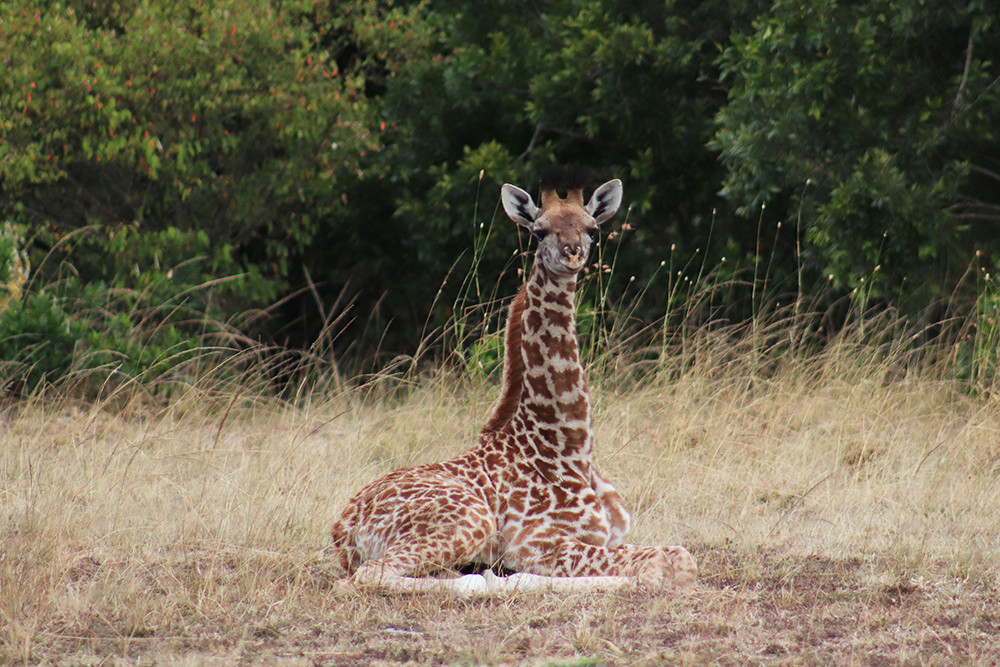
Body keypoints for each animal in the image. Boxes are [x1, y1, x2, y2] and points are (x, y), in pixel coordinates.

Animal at [330, 169, 697, 594]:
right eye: (538, 232)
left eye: (593, 229)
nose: (572, 254)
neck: (571, 448)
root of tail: (342, 531)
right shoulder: (539, 543)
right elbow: (657, 568)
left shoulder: (610, 535)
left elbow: (680, 556)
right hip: (470, 519)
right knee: (369, 576)